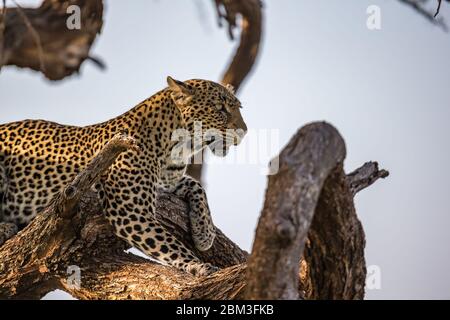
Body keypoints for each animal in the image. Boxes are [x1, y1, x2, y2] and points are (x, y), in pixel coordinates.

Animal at [0, 76, 246, 276]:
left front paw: (204, 234)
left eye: (238, 107)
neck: (177, 148)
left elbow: (196, 186)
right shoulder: (131, 212)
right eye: (220, 109)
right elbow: (170, 245)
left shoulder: (167, 183)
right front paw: (197, 265)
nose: (244, 131)